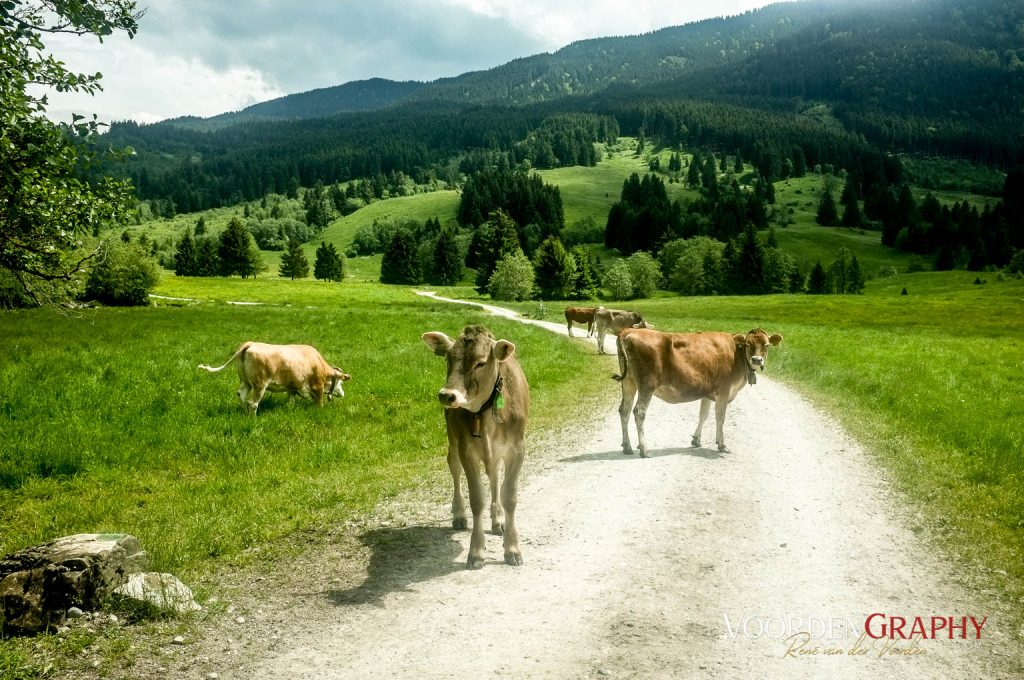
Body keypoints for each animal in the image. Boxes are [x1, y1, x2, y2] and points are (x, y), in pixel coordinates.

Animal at [198, 340, 352, 413]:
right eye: (341, 382)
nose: (343, 393)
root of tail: (250, 344)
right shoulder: (317, 386)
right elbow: (319, 402)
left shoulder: (292, 387)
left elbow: (291, 402)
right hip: (259, 385)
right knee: (253, 403)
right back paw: (252, 419)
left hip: (245, 382)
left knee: (242, 396)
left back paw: (244, 414)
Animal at [421, 323, 532, 569]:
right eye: (448, 358)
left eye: (481, 362)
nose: (447, 395)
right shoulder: (466, 449)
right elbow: (477, 499)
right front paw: (476, 552)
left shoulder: (517, 448)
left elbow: (509, 496)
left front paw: (512, 548)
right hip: (453, 440)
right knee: (454, 469)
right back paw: (459, 515)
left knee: (494, 477)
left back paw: (497, 520)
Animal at [614, 327, 782, 456]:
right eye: (747, 344)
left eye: (767, 345)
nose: (756, 360)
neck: (737, 354)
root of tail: (629, 331)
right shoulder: (724, 390)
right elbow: (720, 417)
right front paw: (722, 445)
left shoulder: (707, 393)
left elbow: (704, 415)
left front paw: (696, 439)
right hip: (647, 384)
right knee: (639, 411)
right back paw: (644, 449)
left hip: (629, 382)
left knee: (624, 410)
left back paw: (627, 447)